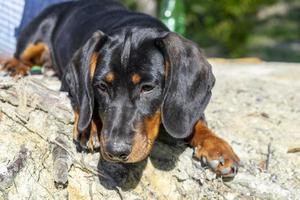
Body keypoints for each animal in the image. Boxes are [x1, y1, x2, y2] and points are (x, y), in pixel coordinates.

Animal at [0, 0, 239, 178]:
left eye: (148, 87)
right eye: (101, 87)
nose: (116, 152)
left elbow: (196, 120)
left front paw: (217, 147)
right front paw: (90, 127)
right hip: (36, 35)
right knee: (22, 54)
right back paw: (14, 66)